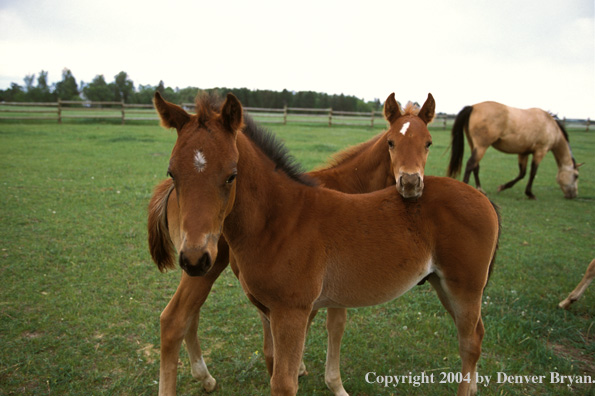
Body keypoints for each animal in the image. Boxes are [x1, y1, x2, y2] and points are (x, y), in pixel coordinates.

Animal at [148, 92, 498, 396]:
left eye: (231, 175)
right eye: (172, 172)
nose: (410, 184)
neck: (280, 220)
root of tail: (482, 197)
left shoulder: (293, 311)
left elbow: (288, 377)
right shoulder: (271, 310)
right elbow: (275, 361)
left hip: (465, 287)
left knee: (470, 341)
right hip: (444, 284)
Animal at [450, 101, 580, 200]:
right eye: (576, 176)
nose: (573, 195)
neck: (551, 127)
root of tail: (473, 107)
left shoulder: (523, 153)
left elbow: (522, 173)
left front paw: (502, 187)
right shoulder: (540, 152)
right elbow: (532, 172)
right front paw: (530, 194)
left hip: (474, 145)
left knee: (475, 166)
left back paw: (480, 190)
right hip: (482, 147)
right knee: (470, 164)